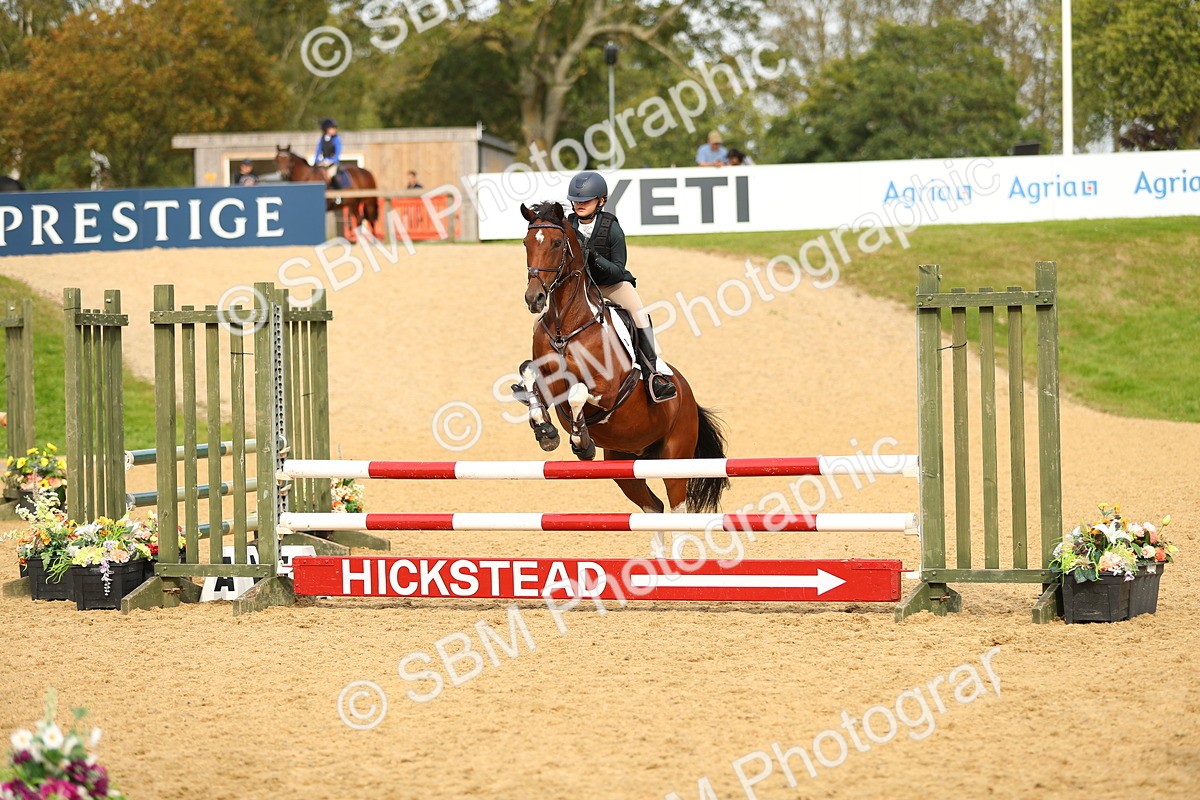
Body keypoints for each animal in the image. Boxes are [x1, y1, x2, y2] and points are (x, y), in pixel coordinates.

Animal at [517, 200, 730, 521]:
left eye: (556, 243)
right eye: (526, 243)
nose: (534, 298)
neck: (566, 328)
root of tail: (689, 397)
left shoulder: (607, 390)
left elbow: (578, 392)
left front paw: (582, 443)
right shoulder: (548, 380)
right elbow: (530, 377)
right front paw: (545, 431)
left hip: (675, 456)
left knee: (676, 506)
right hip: (624, 464)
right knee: (653, 507)